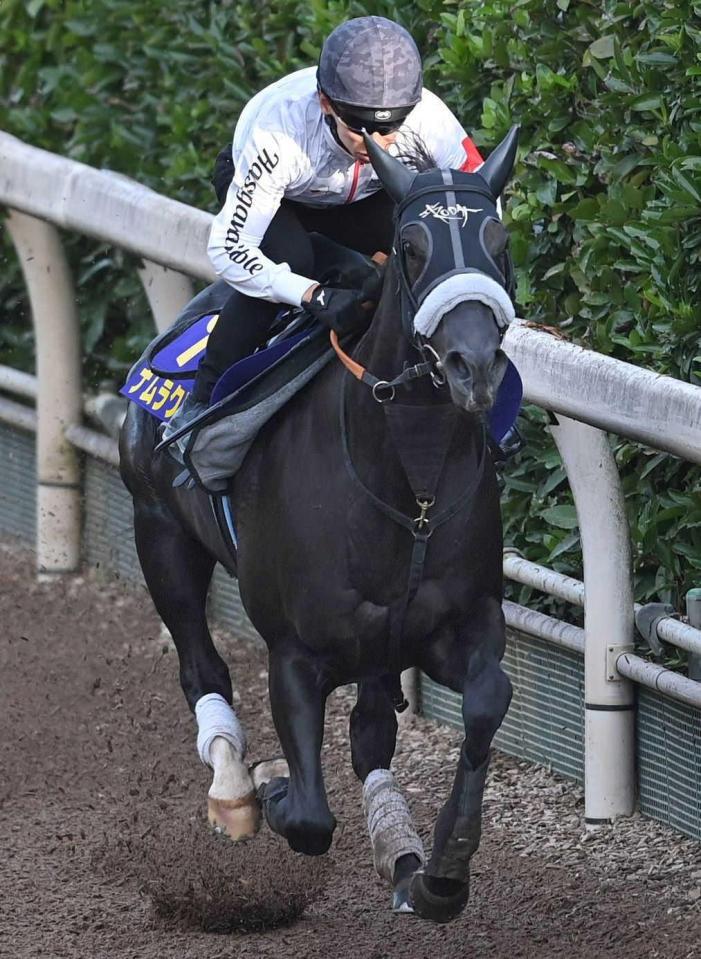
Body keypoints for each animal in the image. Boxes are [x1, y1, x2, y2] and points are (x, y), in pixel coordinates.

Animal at [117, 124, 520, 928]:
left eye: (498, 240)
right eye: (409, 248)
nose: (473, 366)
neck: (408, 486)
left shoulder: (454, 624)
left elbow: (486, 700)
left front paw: (440, 868)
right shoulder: (294, 652)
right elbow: (305, 816)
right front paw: (270, 783)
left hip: (377, 644)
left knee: (371, 734)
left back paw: (398, 850)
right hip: (160, 533)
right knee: (200, 666)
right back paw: (234, 788)